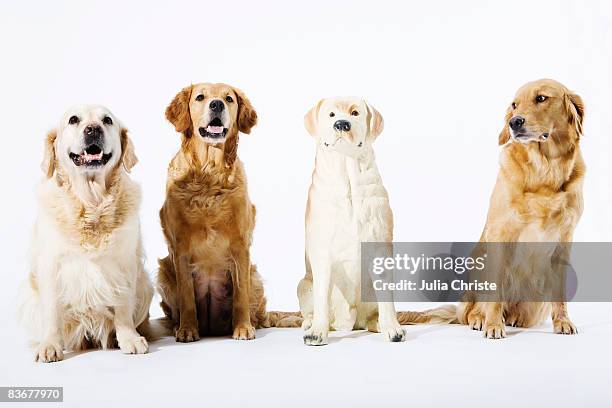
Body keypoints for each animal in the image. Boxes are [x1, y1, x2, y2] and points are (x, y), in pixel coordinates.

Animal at [18, 104, 153, 360]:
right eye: (73, 120)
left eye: (107, 120)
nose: (92, 130)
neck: (92, 204)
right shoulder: (51, 265)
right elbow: (52, 311)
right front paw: (50, 345)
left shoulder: (125, 264)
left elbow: (123, 305)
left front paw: (129, 338)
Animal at [298, 97, 406, 346]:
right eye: (331, 114)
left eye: (355, 113)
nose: (341, 124)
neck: (346, 173)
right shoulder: (322, 252)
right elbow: (321, 298)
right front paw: (317, 332)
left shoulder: (380, 247)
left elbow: (386, 298)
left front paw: (392, 328)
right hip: (304, 284)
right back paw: (311, 323)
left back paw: (378, 323)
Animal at [460, 79, 584, 338]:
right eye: (514, 105)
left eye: (541, 98)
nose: (514, 122)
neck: (545, 169)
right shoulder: (500, 234)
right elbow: (495, 293)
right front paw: (493, 325)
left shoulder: (564, 239)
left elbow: (560, 293)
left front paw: (563, 322)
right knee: (469, 311)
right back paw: (480, 319)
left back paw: (514, 318)